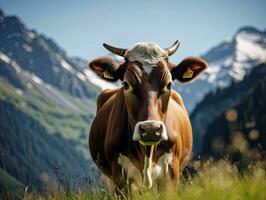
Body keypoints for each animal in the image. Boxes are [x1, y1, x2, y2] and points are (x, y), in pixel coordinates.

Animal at [88, 40, 208, 195]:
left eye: (169, 84)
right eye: (126, 84)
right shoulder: (119, 176)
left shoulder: (172, 173)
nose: (151, 129)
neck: (146, 153)